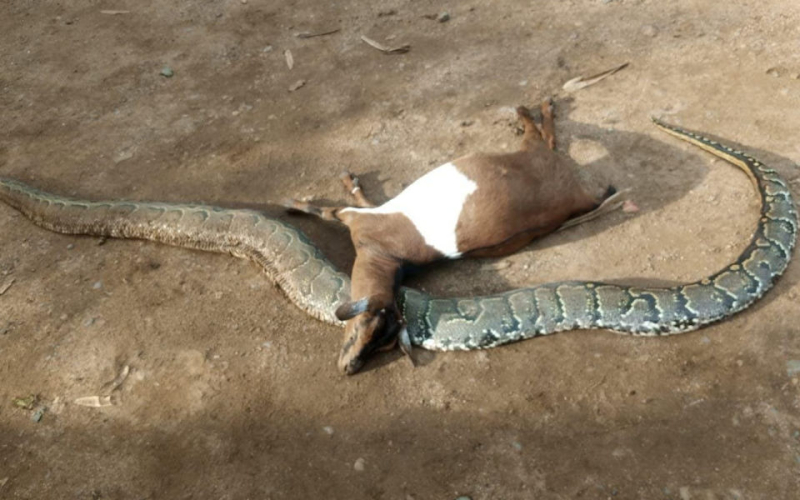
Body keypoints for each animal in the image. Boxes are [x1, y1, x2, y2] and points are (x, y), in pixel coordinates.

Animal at [285, 98, 617, 374]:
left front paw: (292, 204)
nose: (350, 367)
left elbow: (326, 210)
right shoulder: (373, 212)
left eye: (377, 338)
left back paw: (529, 109)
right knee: (549, 140)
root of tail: (581, 198)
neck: (384, 256)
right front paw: (348, 181)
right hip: (539, 160)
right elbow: (361, 199)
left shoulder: (358, 220)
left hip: (529, 153)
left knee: (537, 134)